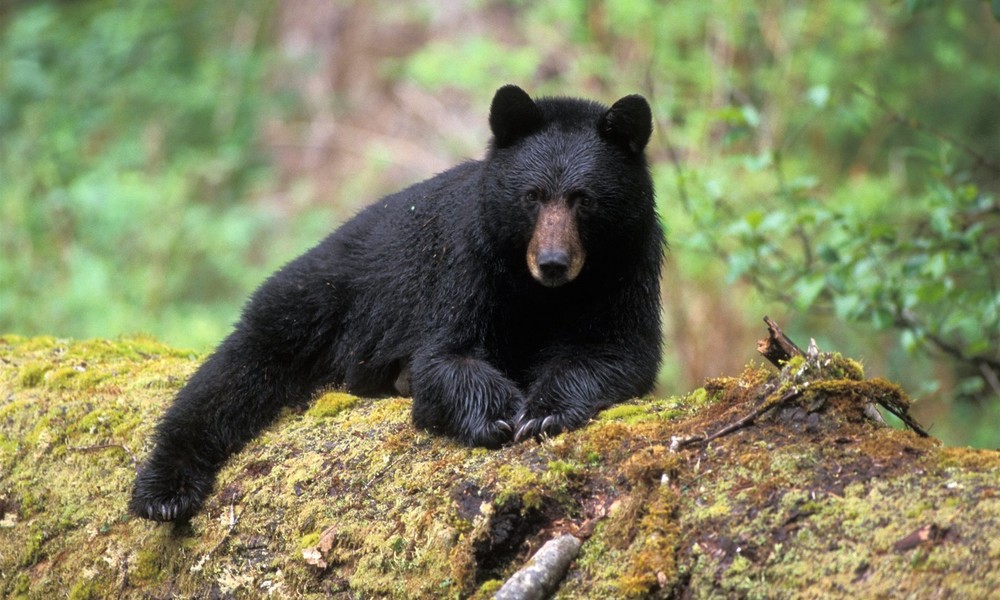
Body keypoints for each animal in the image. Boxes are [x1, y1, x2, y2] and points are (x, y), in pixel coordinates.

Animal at [131, 84, 664, 520]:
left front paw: (545, 410)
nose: (553, 262)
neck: (543, 294)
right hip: (317, 297)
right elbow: (446, 354)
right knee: (234, 372)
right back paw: (164, 490)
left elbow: (617, 350)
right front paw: (494, 413)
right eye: (532, 196)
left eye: (583, 199)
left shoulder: (628, 267)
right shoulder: (468, 262)